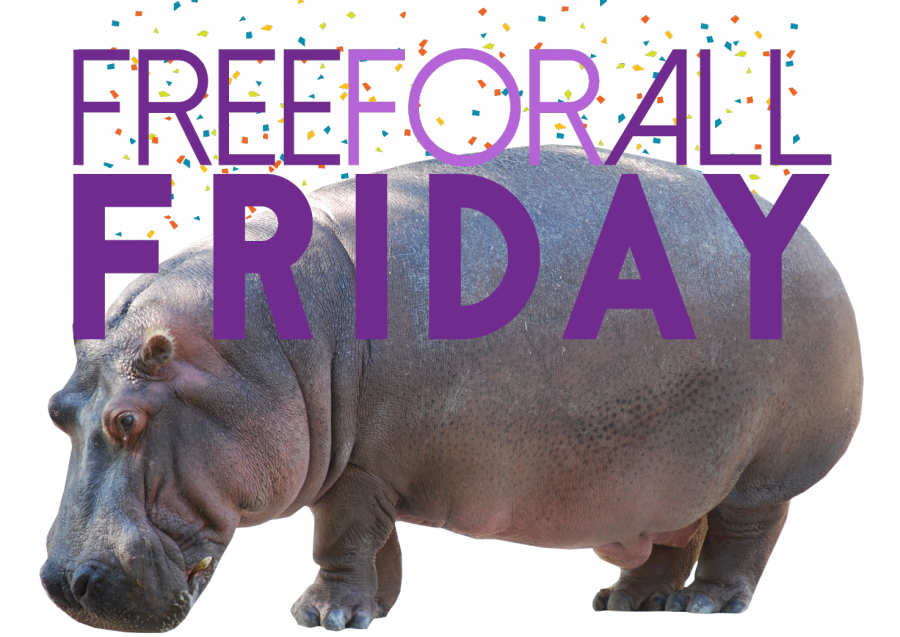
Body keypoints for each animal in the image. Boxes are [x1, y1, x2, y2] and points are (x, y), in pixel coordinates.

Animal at [42, 145, 861, 632]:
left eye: (127, 420)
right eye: (58, 412)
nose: (63, 581)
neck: (246, 356)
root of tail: (810, 243)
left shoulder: (362, 469)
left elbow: (343, 540)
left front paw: (322, 616)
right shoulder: (367, 465)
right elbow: (373, 550)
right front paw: (365, 613)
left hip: (762, 466)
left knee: (741, 536)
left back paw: (703, 605)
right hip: (668, 470)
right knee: (673, 534)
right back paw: (630, 600)